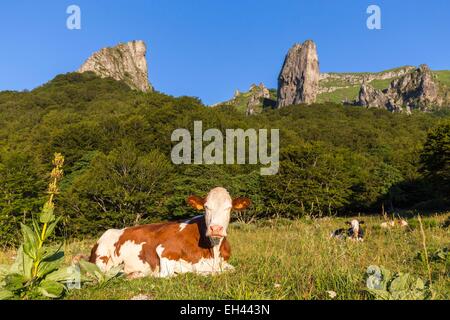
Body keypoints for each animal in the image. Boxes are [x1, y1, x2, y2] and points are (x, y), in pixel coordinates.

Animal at [87, 186, 250, 278]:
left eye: (229, 208)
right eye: (206, 206)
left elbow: (231, 269)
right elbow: (173, 274)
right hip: (101, 259)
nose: (215, 228)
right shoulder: (164, 251)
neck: (213, 252)